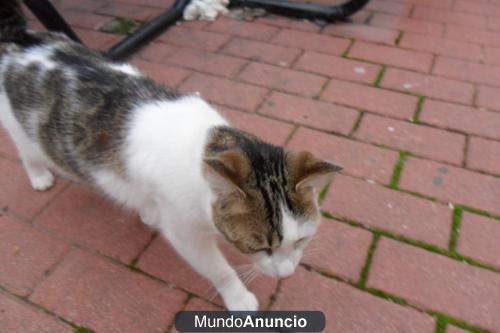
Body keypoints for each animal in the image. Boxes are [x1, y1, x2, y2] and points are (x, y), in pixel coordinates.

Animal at [0, 1, 342, 310]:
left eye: (302, 240)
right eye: (259, 246)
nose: (285, 273)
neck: (203, 150)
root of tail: (21, 39)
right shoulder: (185, 231)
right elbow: (217, 269)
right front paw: (238, 297)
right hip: (18, 126)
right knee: (25, 149)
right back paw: (39, 176)